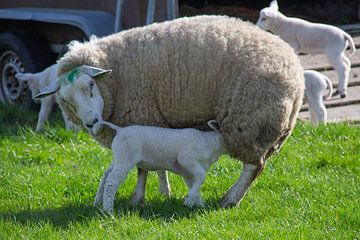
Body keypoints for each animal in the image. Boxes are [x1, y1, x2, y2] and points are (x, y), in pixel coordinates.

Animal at [94, 120, 226, 212]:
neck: (209, 143)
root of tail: (120, 130)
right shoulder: (186, 159)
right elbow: (202, 176)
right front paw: (189, 202)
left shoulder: (188, 172)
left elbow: (194, 184)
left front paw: (199, 205)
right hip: (125, 158)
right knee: (112, 181)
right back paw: (108, 209)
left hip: (118, 157)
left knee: (106, 175)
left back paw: (97, 202)